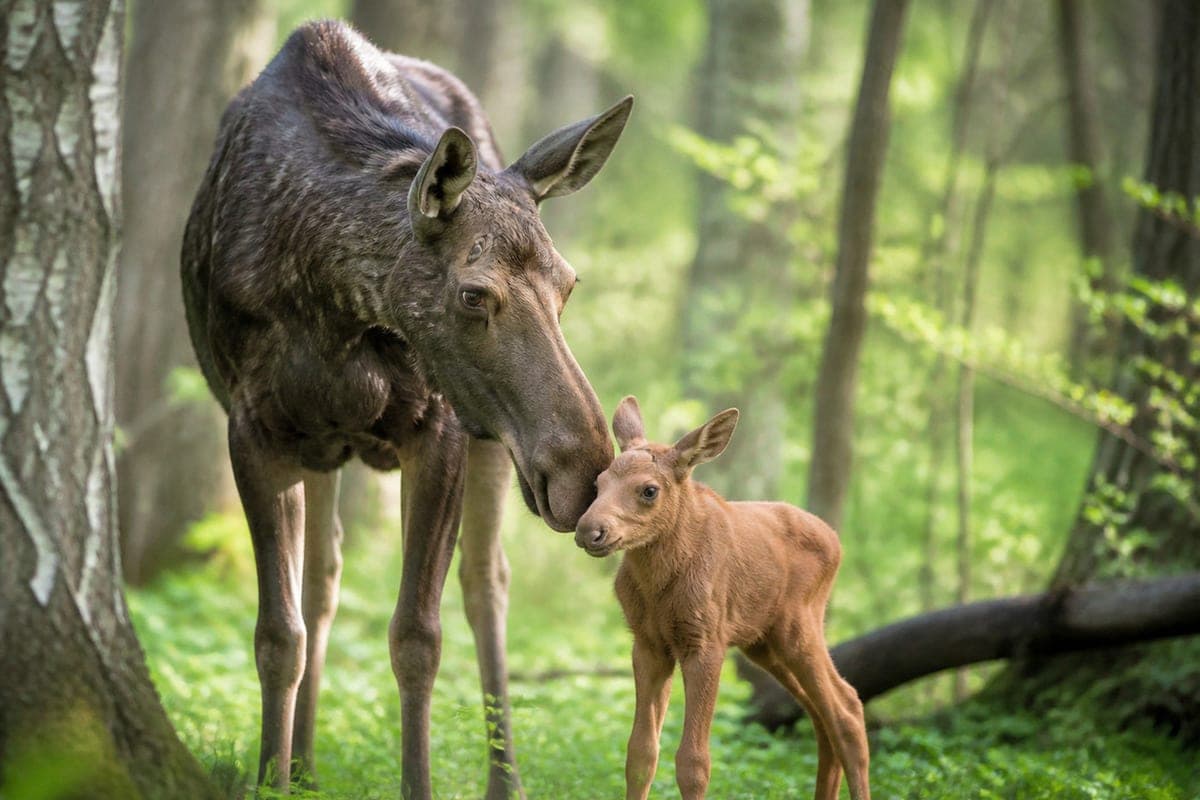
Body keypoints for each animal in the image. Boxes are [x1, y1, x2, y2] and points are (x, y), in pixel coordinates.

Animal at [182, 20, 631, 799]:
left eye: (569, 283)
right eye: (474, 293)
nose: (587, 471)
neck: (328, 298)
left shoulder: (440, 426)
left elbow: (417, 636)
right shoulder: (252, 426)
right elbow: (277, 634)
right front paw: (271, 774)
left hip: (488, 441)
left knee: (486, 583)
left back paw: (504, 779)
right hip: (329, 442)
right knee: (323, 578)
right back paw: (304, 766)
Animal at [574, 397, 871, 800]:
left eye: (649, 490)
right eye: (598, 482)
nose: (588, 531)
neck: (656, 584)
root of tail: (836, 541)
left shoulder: (706, 643)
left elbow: (693, 762)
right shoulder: (649, 645)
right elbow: (640, 755)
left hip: (798, 628)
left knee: (846, 709)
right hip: (763, 644)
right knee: (821, 715)